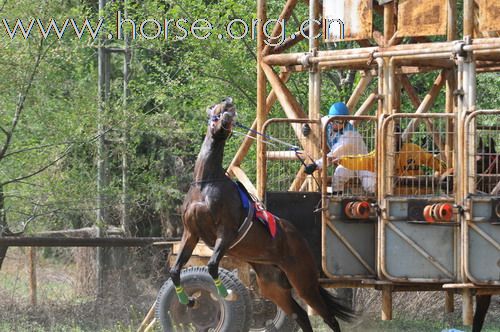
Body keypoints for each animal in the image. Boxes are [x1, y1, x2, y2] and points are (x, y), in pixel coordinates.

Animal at [170, 98, 358, 332]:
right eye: (218, 109)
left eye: (229, 113)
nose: (228, 103)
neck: (206, 183)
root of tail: (300, 239)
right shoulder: (191, 233)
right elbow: (175, 271)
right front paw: (189, 301)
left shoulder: (226, 231)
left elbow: (212, 265)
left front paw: (227, 294)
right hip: (273, 285)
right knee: (300, 315)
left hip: (303, 280)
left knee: (329, 318)